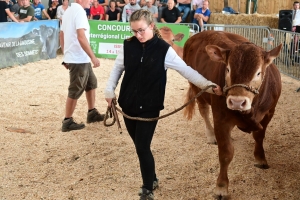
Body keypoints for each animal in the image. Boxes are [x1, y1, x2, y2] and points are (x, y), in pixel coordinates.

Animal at [183, 30, 284, 198]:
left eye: (258, 73)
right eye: (228, 69)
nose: (237, 101)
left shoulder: (269, 113)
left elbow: (259, 136)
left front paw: (260, 159)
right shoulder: (221, 118)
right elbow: (226, 154)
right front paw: (221, 187)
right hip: (197, 87)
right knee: (204, 111)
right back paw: (211, 136)